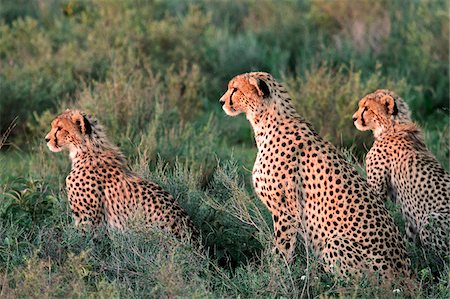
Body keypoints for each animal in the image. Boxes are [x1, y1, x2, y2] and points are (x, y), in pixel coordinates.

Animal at [219, 72, 412, 282]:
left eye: (235, 89)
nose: (221, 101)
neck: (266, 121)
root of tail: (405, 274)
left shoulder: (286, 211)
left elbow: (282, 249)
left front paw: (272, 275)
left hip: (335, 242)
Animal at [354, 90, 448, 258]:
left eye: (366, 108)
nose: (354, 118)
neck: (392, 125)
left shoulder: (377, 189)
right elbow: (409, 233)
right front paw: (407, 247)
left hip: (430, 220)